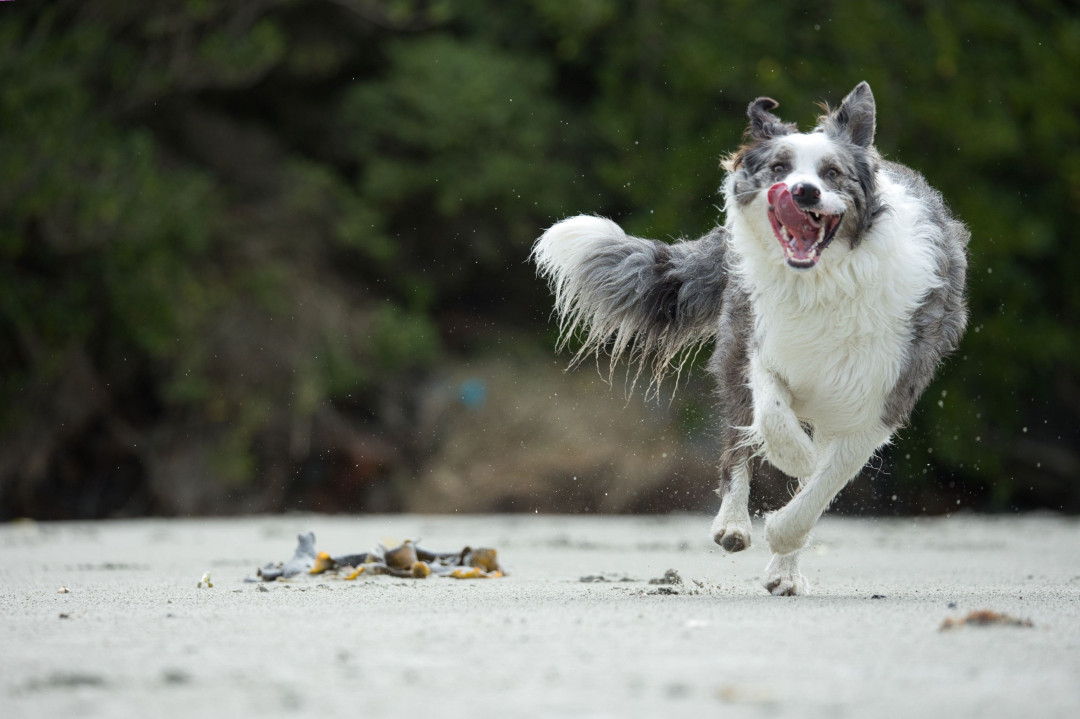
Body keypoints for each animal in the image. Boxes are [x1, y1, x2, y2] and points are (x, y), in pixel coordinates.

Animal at [532, 82, 968, 595]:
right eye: (779, 168)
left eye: (832, 173)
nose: (802, 191)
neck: (822, 282)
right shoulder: (761, 346)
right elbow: (774, 420)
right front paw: (793, 458)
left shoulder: (884, 397)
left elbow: (824, 484)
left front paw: (784, 533)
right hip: (736, 345)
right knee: (736, 449)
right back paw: (734, 525)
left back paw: (785, 570)